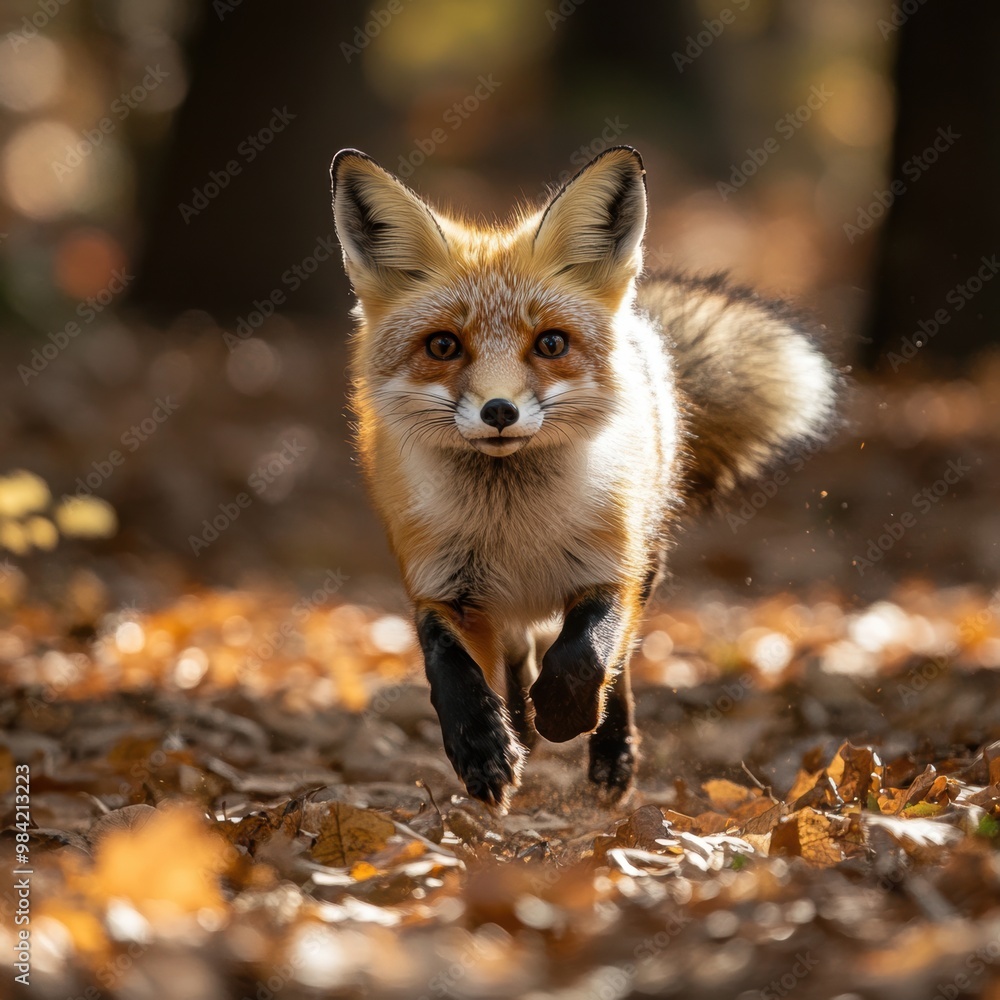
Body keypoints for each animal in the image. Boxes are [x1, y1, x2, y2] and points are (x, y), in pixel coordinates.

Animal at [332, 145, 840, 808]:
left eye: (551, 343)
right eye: (443, 345)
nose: (499, 411)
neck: (513, 526)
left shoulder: (611, 569)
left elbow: (586, 657)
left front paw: (564, 716)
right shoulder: (439, 584)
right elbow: (450, 670)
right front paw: (484, 750)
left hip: (649, 561)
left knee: (614, 666)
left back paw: (607, 754)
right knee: (517, 647)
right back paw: (520, 724)